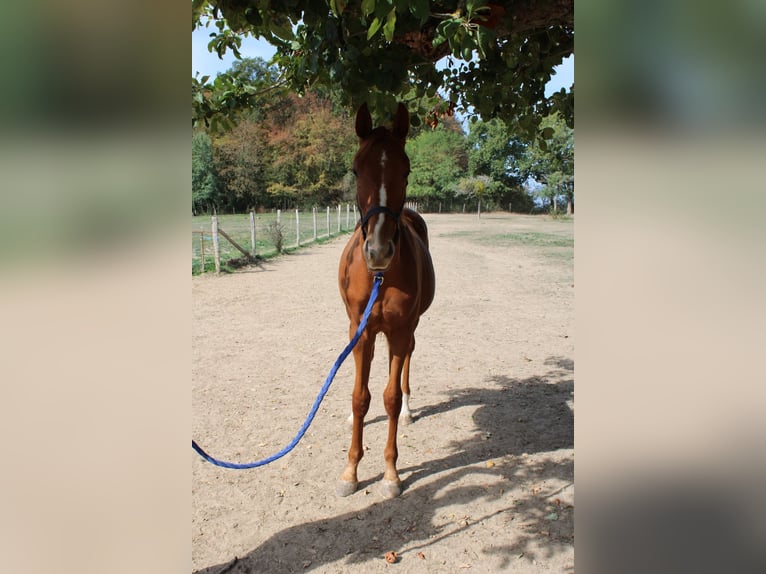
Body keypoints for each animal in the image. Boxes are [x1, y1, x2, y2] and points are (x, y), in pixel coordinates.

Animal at [337, 103, 435, 498]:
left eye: (406, 169)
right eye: (355, 168)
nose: (378, 251)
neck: (379, 275)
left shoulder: (398, 330)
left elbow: (389, 397)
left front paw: (391, 474)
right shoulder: (361, 330)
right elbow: (359, 397)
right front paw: (350, 471)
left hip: (410, 328)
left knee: (408, 359)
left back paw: (409, 409)